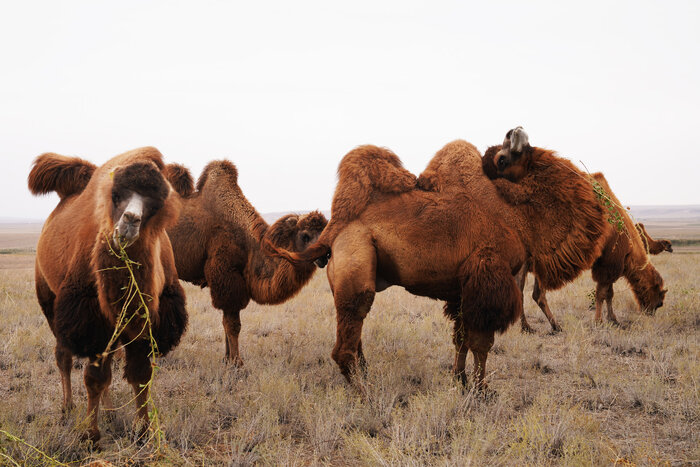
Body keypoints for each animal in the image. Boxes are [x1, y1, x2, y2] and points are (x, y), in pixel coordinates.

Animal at [28, 147, 187, 442]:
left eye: (156, 202)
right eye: (116, 194)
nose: (130, 220)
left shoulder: (145, 320)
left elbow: (140, 374)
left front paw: (143, 431)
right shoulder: (88, 318)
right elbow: (94, 377)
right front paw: (91, 435)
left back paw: (111, 413)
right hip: (48, 299)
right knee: (63, 356)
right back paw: (67, 408)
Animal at [163, 161, 328, 366]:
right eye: (305, 235)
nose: (325, 255)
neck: (249, 245)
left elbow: (226, 323)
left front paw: (227, 359)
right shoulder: (227, 278)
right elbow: (233, 325)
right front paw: (237, 363)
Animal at [268, 127, 608, 388]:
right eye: (502, 157)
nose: (515, 130)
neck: (512, 211)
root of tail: (333, 228)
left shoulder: (462, 288)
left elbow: (461, 338)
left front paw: (460, 380)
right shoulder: (488, 276)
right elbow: (482, 343)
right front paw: (482, 391)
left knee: (353, 327)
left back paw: (366, 377)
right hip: (356, 258)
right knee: (348, 335)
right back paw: (361, 393)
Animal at [482, 144, 668, 330]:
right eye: (660, 299)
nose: (651, 312)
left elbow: (609, 293)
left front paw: (613, 320)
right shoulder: (609, 262)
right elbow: (602, 293)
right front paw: (599, 321)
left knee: (526, 291)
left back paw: (535, 326)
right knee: (531, 292)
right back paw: (545, 326)